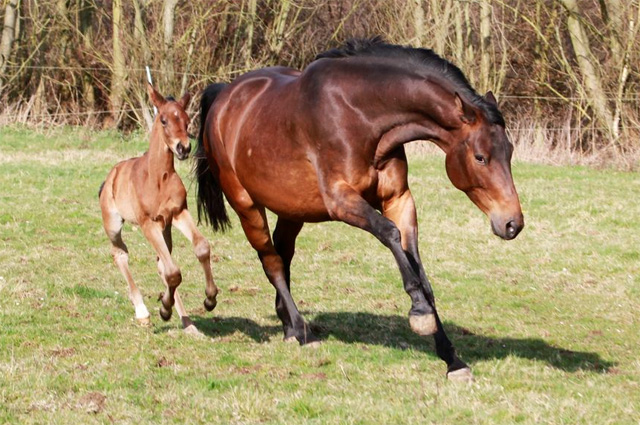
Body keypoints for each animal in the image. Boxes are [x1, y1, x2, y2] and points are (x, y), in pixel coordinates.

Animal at [99, 83, 219, 332]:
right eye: (163, 120)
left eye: (186, 120)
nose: (183, 148)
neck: (158, 178)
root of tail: (110, 177)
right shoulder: (148, 223)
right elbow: (173, 272)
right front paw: (164, 308)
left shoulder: (179, 213)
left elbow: (201, 247)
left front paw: (209, 299)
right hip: (113, 224)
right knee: (120, 254)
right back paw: (143, 312)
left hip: (166, 228)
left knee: (160, 262)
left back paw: (187, 322)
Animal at [196, 38, 524, 380]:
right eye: (480, 157)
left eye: (509, 151)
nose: (512, 223)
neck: (362, 115)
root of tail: (223, 95)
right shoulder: (341, 200)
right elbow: (390, 235)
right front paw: (419, 312)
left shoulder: (398, 199)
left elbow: (417, 266)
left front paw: (452, 358)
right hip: (246, 205)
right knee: (271, 261)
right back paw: (302, 332)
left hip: (292, 209)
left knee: (283, 255)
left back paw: (289, 326)